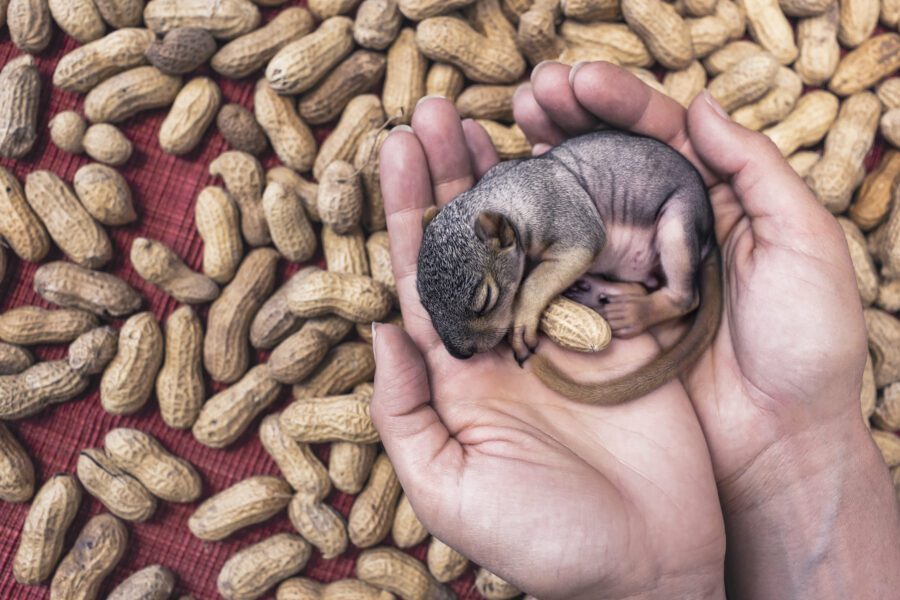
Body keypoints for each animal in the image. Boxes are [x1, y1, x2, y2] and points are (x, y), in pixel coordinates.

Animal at [416, 129, 724, 406]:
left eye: (486, 300)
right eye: (423, 302)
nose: (459, 354)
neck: (508, 195)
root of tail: (711, 238)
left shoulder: (564, 218)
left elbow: (539, 280)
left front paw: (522, 321)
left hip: (679, 224)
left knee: (684, 297)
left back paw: (633, 312)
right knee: (642, 284)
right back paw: (599, 293)